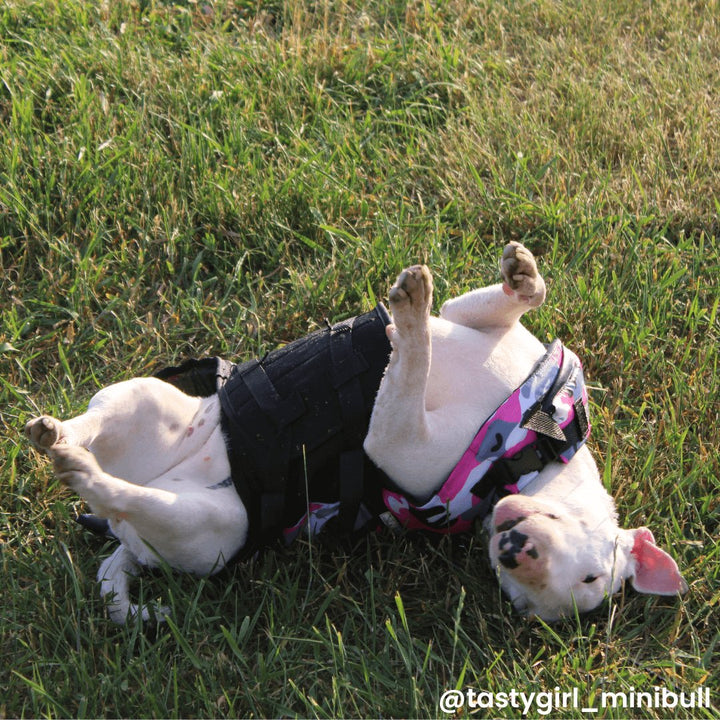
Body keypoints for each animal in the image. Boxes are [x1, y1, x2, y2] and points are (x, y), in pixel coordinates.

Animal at [23, 243, 688, 624]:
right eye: (594, 575)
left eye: (534, 602)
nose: (512, 552)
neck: (534, 437)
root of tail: (123, 545)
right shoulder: (481, 323)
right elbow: (515, 298)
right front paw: (518, 271)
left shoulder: (393, 444)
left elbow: (410, 371)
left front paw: (409, 320)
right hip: (146, 400)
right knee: (98, 420)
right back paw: (56, 433)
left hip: (209, 527)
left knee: (125, 496)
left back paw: (79, 469)